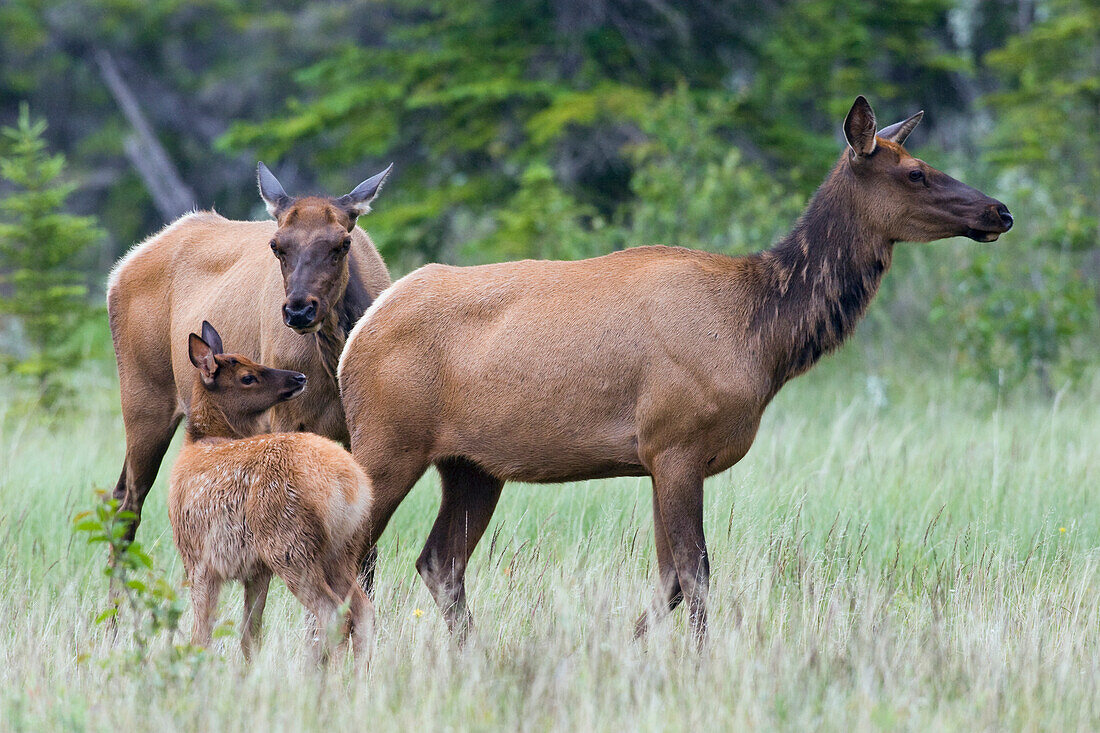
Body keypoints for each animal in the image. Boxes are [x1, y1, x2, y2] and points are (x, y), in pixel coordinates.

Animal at [105, 165, 393, 541]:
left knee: (118, 494)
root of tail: (119, 269)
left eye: (343, 243)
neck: (335, 371)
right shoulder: (286, 419)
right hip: (143, 399)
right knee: (128, 504)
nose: (299, 310)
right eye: (276, 245)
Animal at [168, 323, 374, 660]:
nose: (299, 378)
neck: (200, 442)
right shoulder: (256, 570)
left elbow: (202, 634)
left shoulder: (198, 558)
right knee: (363, 609)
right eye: (247, 376)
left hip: (290, 543)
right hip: (343, 547)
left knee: (333, 613)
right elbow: (250, 633)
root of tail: (348, 485)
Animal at [338, 94, 1016, 642]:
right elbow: (695, 574)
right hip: (389, 440)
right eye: (915, 171)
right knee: (348, 550)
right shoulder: (676, 444)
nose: (999, 211)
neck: (762, 336)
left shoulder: (662, 458)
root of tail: (359, 332)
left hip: (473, 465)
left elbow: (668, 579)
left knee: (438, 563)